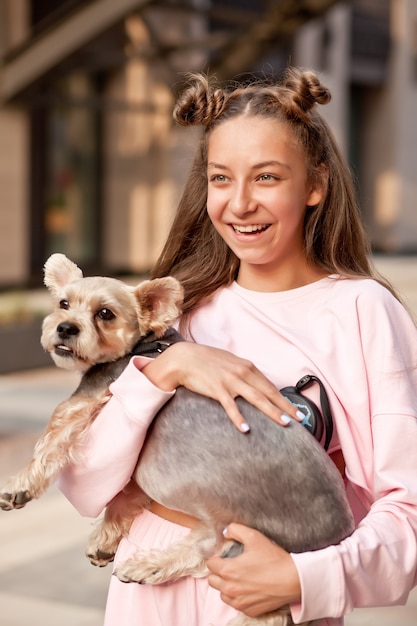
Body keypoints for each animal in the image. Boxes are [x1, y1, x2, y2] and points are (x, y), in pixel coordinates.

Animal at [0, 254, 354, 624]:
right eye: (63, 303)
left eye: (105, 314)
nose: (66, 327)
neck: (147, 343)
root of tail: (336, 536)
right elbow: (125, 490)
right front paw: (106, 537)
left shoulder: (84, 401)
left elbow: (51, 439)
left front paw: (19, 486)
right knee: (203, 545)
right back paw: (149, 568)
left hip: (254, 548)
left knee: (221, 563)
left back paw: (152, 566)